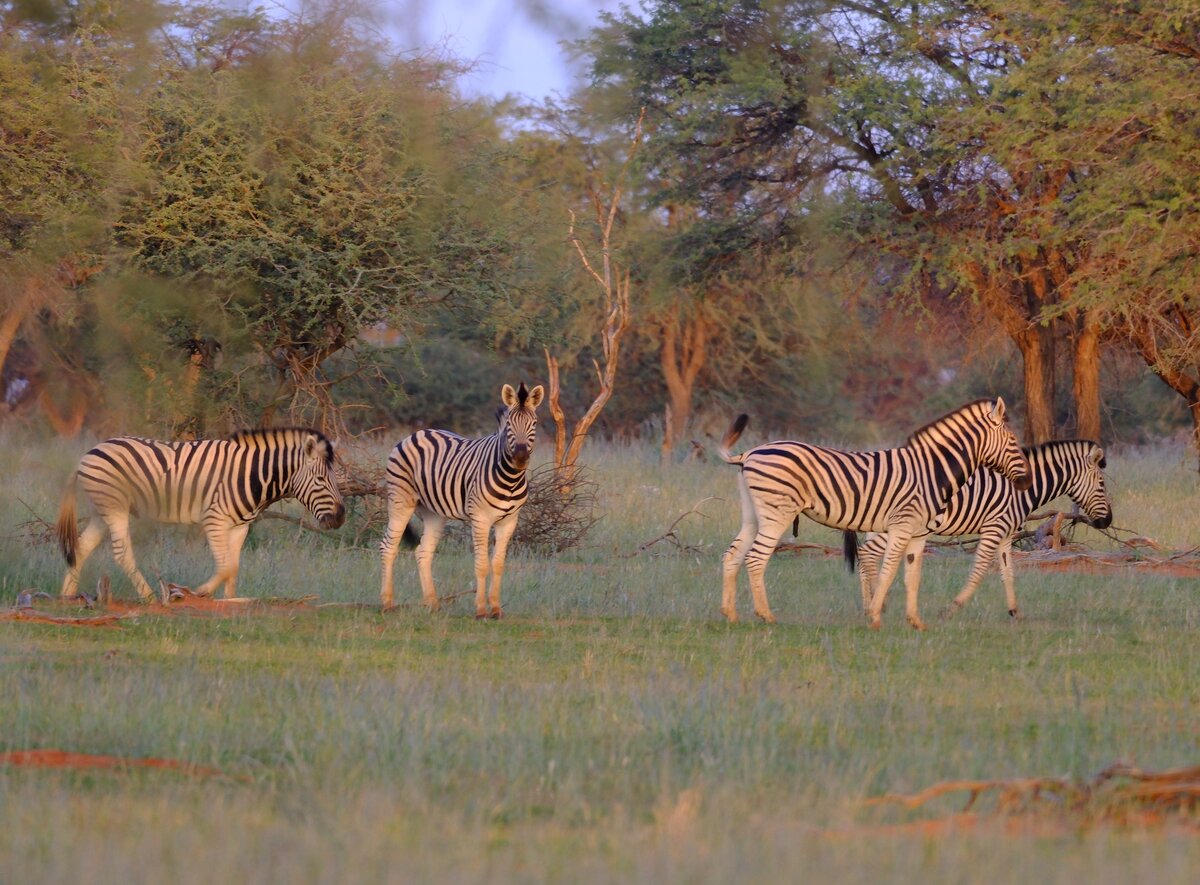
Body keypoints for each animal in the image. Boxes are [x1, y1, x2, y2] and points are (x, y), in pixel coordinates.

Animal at [56, 428, 346, 600]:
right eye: (321, 479)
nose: (341, 518)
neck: (252, 476)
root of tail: (87, 453)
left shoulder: (240, 526)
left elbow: (233, 568)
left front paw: (230, 602)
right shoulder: (214, 520)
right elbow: (226, 566)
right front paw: (199, 592)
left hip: (101, 511)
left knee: (81, 546)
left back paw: (67, 596)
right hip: (114, 507)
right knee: (122, 553)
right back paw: (150, 598)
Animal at [380, 382, 545, 619]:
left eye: (534, 423)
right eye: (509, 425)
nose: (520, 457)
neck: (511, 479)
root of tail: (416, 433)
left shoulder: (509, 522)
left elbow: (498, 564)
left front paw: (496, 608)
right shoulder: (481, 519)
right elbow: (482, 564)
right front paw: (481, 610)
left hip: (434, 513)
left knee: (423, 552)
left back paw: (433, 603)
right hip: (400, 501)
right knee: (388, 547)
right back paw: (387, 603)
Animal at [718, 398, 1031, 630]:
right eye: (1013, 440)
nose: (1027, 482)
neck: (932, 471)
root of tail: (749, 453)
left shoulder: (919, 534)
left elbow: (912, 576)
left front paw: (915, 622)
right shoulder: (902, 526)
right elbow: (888, 571)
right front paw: (875, 617)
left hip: (753, 514)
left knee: (733, 553)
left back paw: (730, 614)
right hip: (777, 513)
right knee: (756, 558)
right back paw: (766, 615)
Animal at [848, 439, 1112, 620]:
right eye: (1101, 484)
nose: (1107, 521)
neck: (1020, 490)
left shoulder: (1006, 533)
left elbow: (1008, 571)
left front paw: (1014, 611)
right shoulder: (994, 528)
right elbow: (980, 568)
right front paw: (953, 608)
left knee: (866, 557)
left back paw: (869, 604)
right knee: (868, 553)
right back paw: (876, 604)